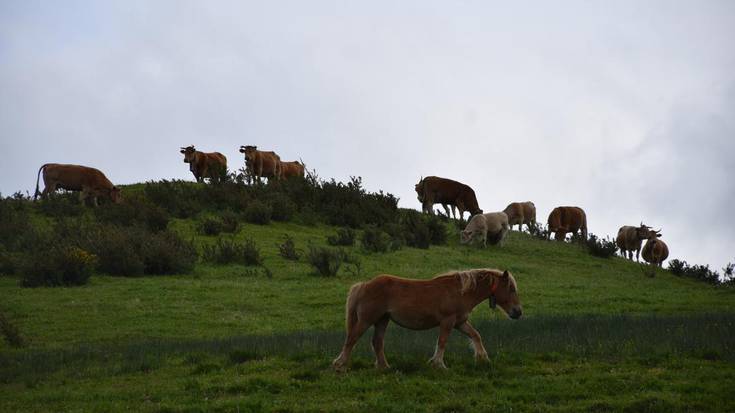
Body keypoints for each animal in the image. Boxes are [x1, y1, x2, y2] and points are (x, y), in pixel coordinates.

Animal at [334, 268, 524, 370]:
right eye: (511, 288)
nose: (518, 312)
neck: (460, 291)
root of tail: (364, 285)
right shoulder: (448, 321)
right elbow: (442, 342)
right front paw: (439, 364)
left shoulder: (460, 322)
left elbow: (476, 335)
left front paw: (483, 358)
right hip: (367, 320)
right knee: (352, 338)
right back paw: (340, 364)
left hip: (382, 320)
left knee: (377, 342)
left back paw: (384, 367)